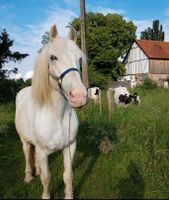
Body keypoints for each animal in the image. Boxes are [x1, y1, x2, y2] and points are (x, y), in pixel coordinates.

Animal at [14, 24, 87, 198]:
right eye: (53, 57)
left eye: (79, 59)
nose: (79, 96)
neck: (57, 116)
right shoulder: (42, 151)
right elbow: (47, 178)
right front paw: (46, 196)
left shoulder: (70, 146)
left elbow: (68, 176)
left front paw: (69, 196)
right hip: (24, 140)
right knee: (27, 153)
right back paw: (28, 176)